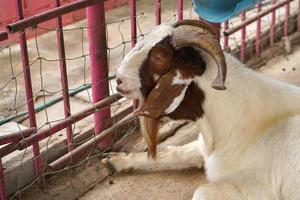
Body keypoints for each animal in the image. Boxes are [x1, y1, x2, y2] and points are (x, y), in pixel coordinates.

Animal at [102, 19, 300, 199]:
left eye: (159, 57)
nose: (118, 80)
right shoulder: (203, 146)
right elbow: (175, 153)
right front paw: (114, 161)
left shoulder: (255, 189)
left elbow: (201, 190)